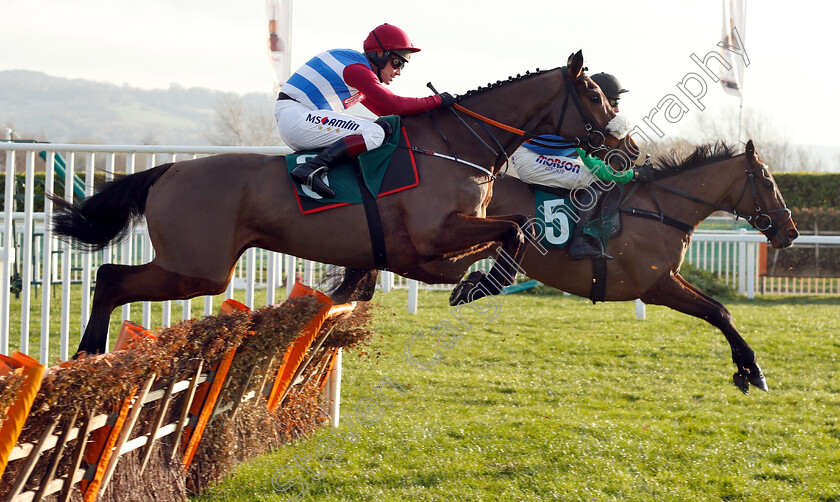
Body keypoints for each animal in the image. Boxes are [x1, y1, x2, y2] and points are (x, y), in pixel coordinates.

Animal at [52, 51, 636, 354]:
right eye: (594, 96)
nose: (629, 149)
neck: (457, 144)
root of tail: (169, 170)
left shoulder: (432, 248)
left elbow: (505, 236)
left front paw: (476, 283)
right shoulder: (432, 239)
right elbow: (513, 230)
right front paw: (479, 286)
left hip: (194, 267)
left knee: (111, 278)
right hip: (199, 269)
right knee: (110, 278)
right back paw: (88, 352)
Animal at [330, 139, 800, 394]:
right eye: (769, 182)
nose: (790, 231)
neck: (662, 209)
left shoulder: (667, 279)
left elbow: (720, 310)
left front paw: (747, 369)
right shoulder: (655, 286)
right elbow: (719, 312)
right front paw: (752, 371)